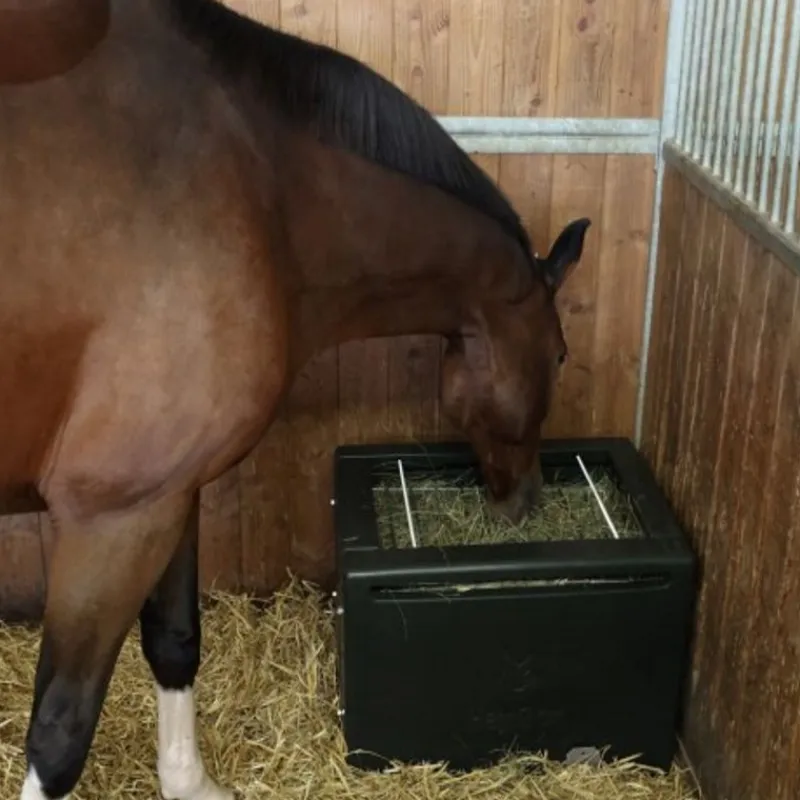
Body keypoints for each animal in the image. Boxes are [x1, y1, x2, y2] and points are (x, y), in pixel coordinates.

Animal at [0, 1, 591, 797]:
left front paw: (188, 783)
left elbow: (175, 641)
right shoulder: (112, 517)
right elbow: (59, 733)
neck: (263, 190)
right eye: (559, 355)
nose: (525, 500)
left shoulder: (166, 497)